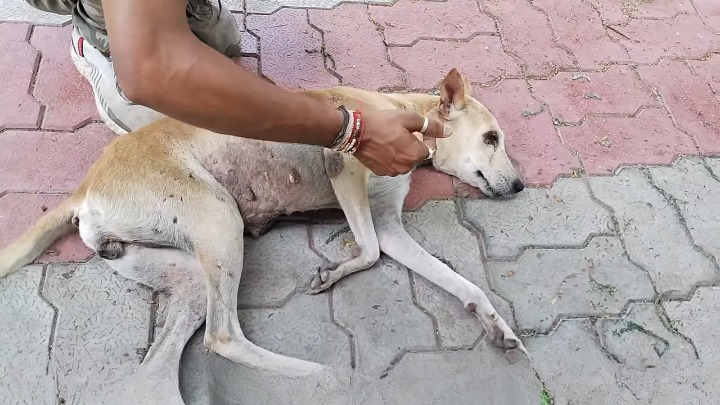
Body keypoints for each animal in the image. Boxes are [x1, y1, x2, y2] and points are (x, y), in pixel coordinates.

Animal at [0, 68, 528, 402]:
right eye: (491, 138)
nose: (521, 186)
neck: (406, 113)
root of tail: (85, 186)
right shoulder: (344, 166)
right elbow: (370, 251)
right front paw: (336, 272)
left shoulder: (390, 224)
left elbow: (461, 283)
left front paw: (496, 325)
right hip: (219, 220)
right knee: (223, 337)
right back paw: (324, 374)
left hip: (189, 275)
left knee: (171, 359)